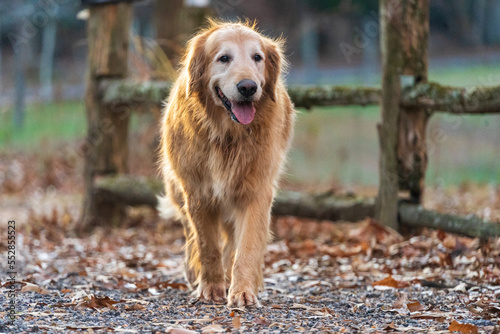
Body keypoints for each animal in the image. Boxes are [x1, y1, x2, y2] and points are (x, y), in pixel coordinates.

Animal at [158, 20, 294, 308]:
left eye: (257, 57)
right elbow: (206, 245)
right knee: (190, 235)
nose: (248, 87)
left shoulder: (256, 192)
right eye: (224, 58)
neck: (228, 135)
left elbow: (247, 247)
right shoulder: (198, 193)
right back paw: (193, 272)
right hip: (178, 190)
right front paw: (210, 287)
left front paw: (242, 290)